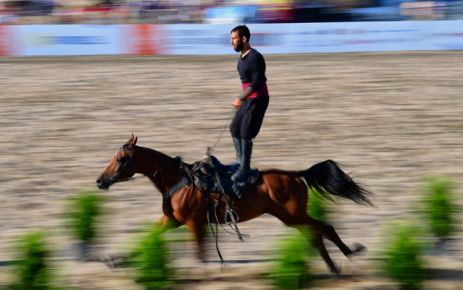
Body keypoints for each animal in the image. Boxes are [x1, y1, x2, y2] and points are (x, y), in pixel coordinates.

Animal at [96, 135, 372, 274]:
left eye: (120, 158)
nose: (100, 181)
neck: (178, 181)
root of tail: (294, 174)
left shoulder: (194, 224)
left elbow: (200, 254)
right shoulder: (171, 221)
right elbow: (146, 238)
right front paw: (116, 260)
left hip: (292, 216)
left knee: (322, 229)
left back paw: (344, 257)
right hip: (292, 217)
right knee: (317, 232)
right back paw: (336, 263)